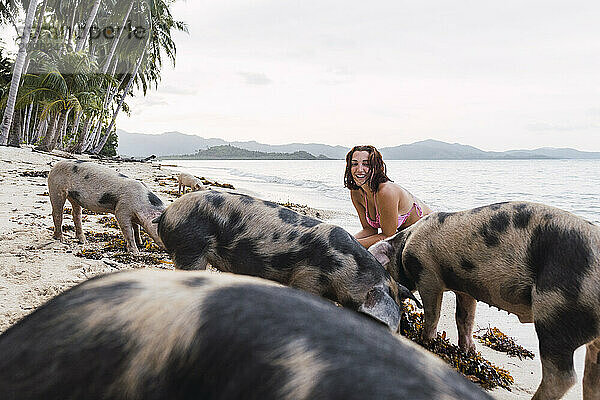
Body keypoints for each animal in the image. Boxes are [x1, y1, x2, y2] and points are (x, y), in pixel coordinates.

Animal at [370, 202, 600, 400]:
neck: (405, 246)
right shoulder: (464, 290)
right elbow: (465, 318)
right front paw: (469, 351)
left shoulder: (428, 276)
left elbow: (433, 313)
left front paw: (425, 341)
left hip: (556, 311)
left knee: (563, 376)